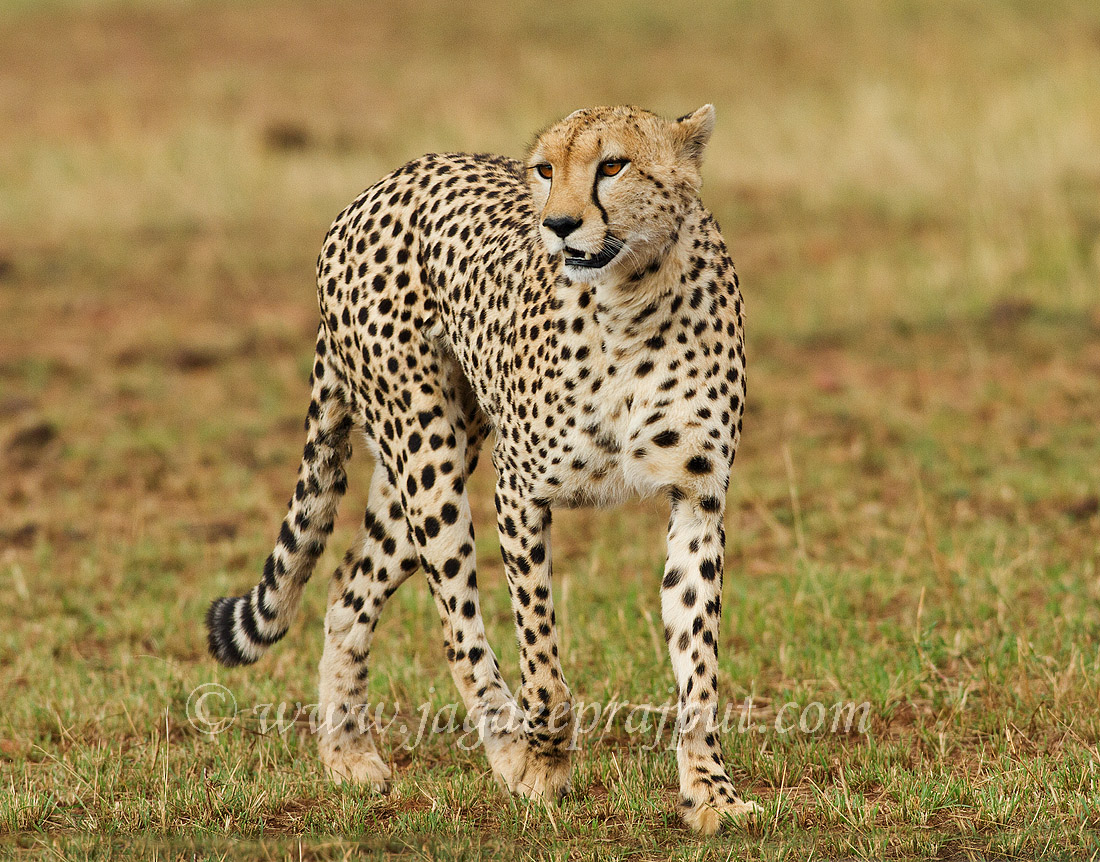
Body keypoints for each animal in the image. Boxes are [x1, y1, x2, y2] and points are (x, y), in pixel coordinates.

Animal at [205, 104, 760, 834]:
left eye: (613, 165)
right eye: (546, 169)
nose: (559, 225)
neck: (632, 301)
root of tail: (384, 184)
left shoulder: (698, 495)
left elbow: (697, 656)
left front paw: (710, 793)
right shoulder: (520, 489)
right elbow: (540, 651)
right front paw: (544, 760)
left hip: (432, 459)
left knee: (349, 591)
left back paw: (347, 754)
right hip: (426, 451)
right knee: (455, 622)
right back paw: (504, 749)